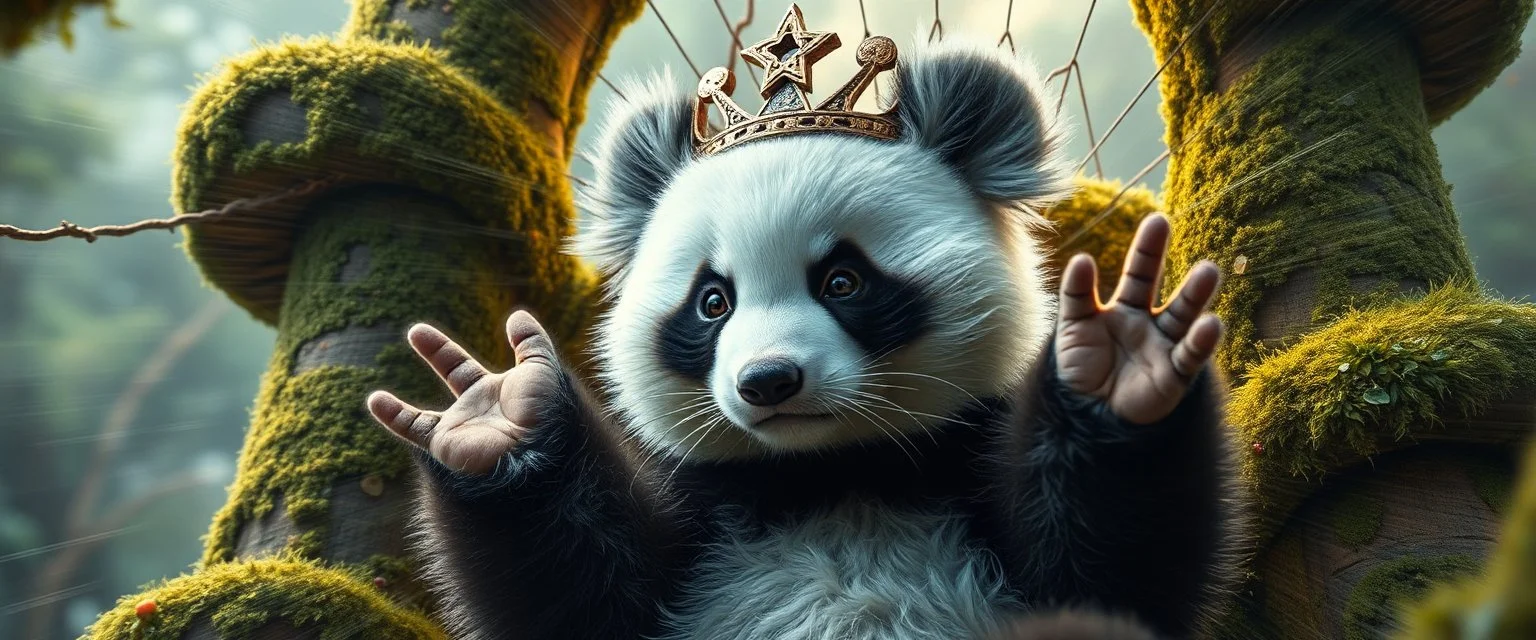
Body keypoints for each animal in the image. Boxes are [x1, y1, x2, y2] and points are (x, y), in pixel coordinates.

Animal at [365, 28, 1242, 640]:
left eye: (843, 281)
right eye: (711, 301)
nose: (769, 382)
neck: (829, 474)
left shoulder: (965, 487)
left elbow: (1111, 568)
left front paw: (1117, 364)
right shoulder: (707, 526)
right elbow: (576, 593)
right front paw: (500, 418)